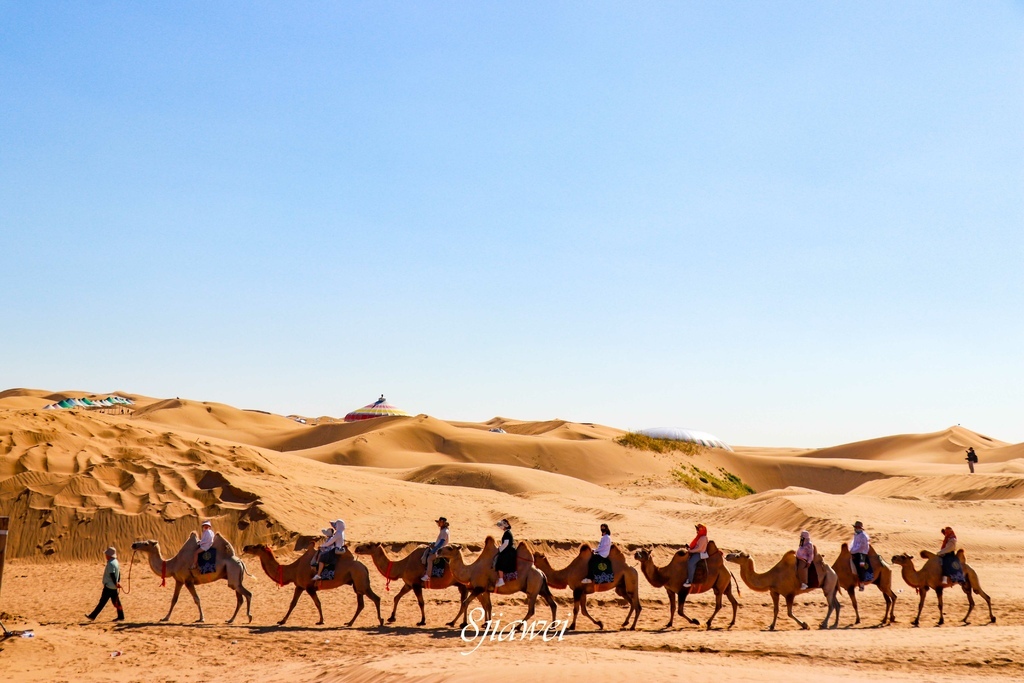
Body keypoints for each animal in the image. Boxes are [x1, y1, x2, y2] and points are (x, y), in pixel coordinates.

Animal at [241, 548, 382, 626]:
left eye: (256, 546)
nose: (246, 547)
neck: (293, 569)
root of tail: (365, 567)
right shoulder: (299, 586)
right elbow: (292, 603)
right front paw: (282, 621)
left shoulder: (309, 587)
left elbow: (317, 603)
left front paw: (321, 620)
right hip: (357, 584)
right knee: (361, 603)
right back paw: (350, 622)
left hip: (360, 581)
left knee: (375, 598)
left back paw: (380, 620)